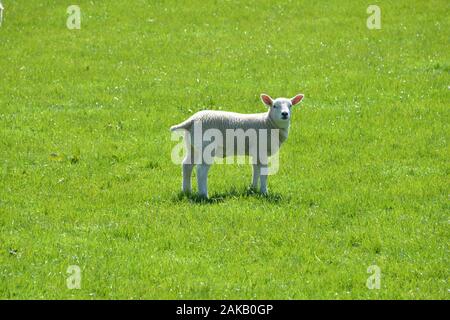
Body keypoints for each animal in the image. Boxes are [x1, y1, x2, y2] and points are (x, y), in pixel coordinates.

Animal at [171, 93, 304, 198]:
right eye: (274, 106)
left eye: (290, 105)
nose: (285, 114)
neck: (268, 123)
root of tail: (192, 120)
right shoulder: (262, 150)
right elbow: (264, 172)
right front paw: (264, 192)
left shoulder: (256, 151)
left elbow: (255, 169)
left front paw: (253, 188)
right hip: (206, 147)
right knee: (201, 170)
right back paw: (204, 195)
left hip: (192, 145)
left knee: (186, 165)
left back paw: (186, 191)